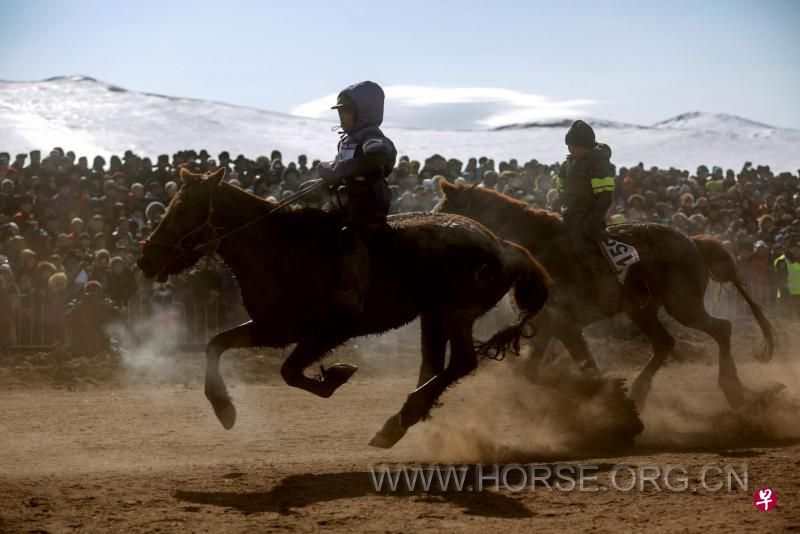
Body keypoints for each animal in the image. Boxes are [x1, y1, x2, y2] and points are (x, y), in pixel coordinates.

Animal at [138, 170, 552, 450]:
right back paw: (402, 420)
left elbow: (289, 372)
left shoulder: (329, 331)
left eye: (184, 208)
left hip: (455, 313)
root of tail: (502, 246)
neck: (279, 247)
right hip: (433, 316)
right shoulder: (272, 328)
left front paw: (336, 374)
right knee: (435, 366)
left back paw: (399, 419)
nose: (146, 258)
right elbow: (215, 345)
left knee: (462, 363)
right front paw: (224, 409)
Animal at [434, 182, 780, 408]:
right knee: (666, 343)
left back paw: (733, 389)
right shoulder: (547, 325)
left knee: (721, 329)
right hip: (642, 310)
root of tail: (693, 241)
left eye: (444, 212)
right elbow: (533, 371)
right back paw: (640, 390)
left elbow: (581, 366)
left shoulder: (564, 324)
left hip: (683, 304)